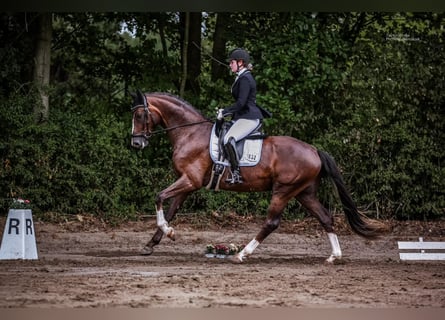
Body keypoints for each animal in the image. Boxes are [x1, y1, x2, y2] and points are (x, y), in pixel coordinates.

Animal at [129, 90, 386, 262]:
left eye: (140, 116)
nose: (136, 143)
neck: (190, 132)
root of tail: (314, 150)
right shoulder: (188, 183)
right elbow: (171, 209)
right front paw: (155, 241)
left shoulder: (189, 180)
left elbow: (159, 197)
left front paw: (166, 232)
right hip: (304, 193)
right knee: (325, 218)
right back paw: (334, 256)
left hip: (283, 190)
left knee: (272, 222)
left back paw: (243, 253)